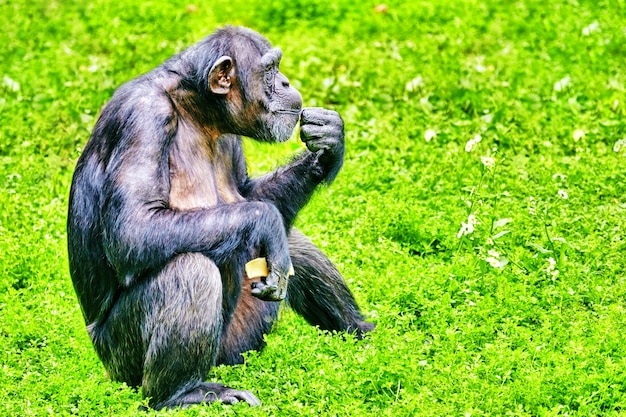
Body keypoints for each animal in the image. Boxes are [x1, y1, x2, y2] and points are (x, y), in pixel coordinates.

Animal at [67, 24, 370, 408]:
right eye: (270, 70)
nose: (286, 82)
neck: (197, 111)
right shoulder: (143, 118)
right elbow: (133, 228)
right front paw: (266, 221)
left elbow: (248, 196)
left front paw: (329, 142)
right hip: (123, 364)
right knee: (190, 270)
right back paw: (183, 392)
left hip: (235, 348)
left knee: (292, 244)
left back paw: (366, 337)